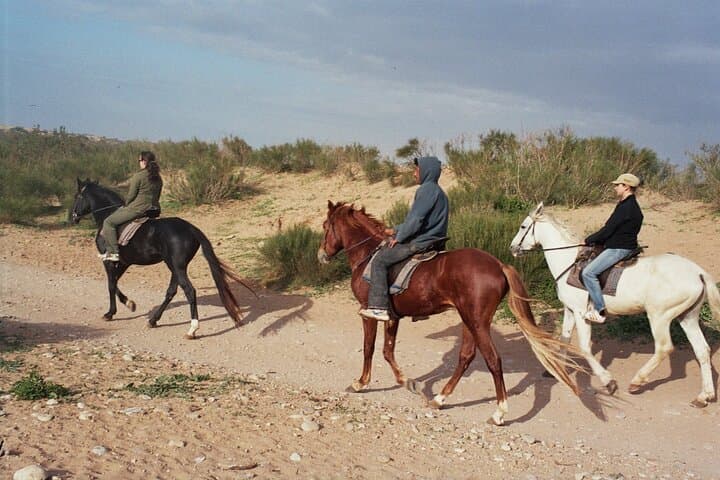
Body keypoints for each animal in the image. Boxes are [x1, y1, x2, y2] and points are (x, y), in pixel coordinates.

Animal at [70, 178, 256, 339]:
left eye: (77, 196)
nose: (72, 217)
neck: (108, 215)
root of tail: (191, 228)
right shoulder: (124, 262)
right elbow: (115, 283)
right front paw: (130, 304)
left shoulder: (109, 260)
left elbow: (110, 284)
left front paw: (111, 313)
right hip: (175, 266)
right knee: (171, 291)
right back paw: (153, 320)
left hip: (176, 267)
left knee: (189, 291)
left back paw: (192, 329)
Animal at [317, 201, 583, 425]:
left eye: (325, 226)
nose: (321, 255)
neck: (368, 255)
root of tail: (498, 265)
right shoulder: (392, 317)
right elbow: (387, 350)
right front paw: (407, 382)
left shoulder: (368, 313)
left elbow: (369, 348)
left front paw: (361, 383)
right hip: (468, 319)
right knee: (466, 356)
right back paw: (440, 399)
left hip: (476, 322)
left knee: (493, 360)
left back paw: (499, 412)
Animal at [509, 202, 720, 407]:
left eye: (523, 226)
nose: (512, 248)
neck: (569, 262)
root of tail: (698, 272)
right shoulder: (570, 310)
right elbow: (564, 340)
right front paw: (556, 370)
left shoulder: (580, 312)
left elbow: (584, 347)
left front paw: (608, 382)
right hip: (687, 317)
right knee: (702, 350)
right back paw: (704, 396)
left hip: (659, 317)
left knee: (664, 347)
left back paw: (637, 381)